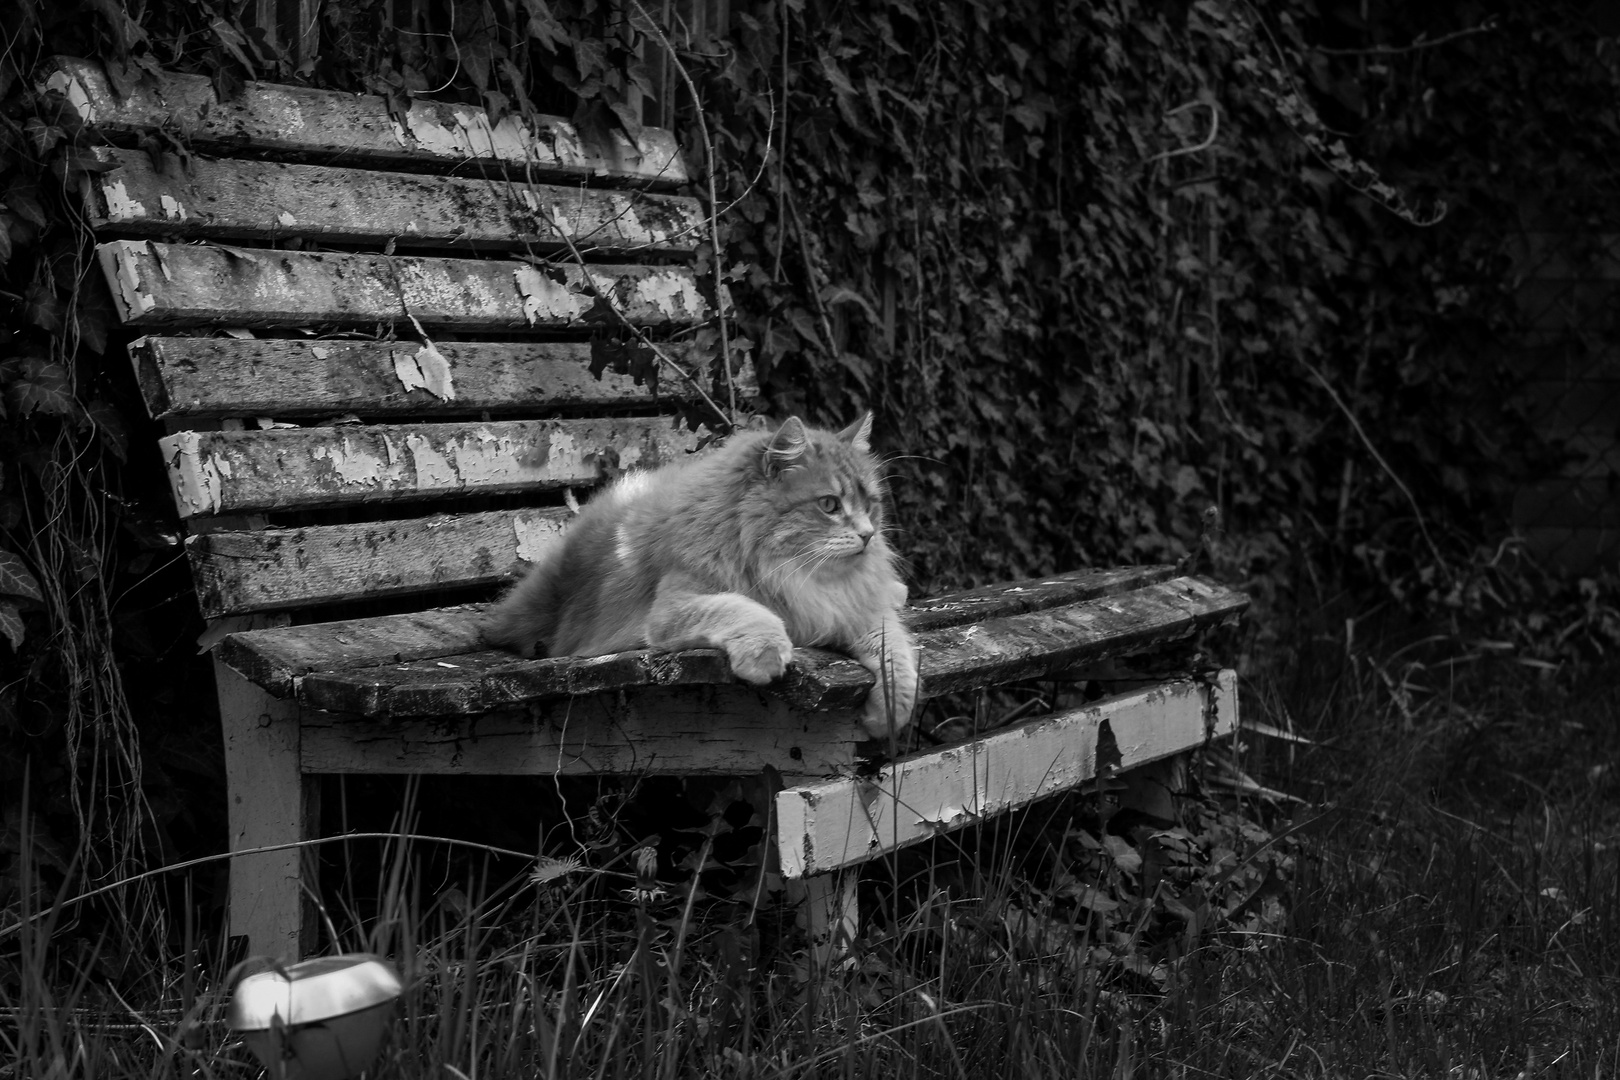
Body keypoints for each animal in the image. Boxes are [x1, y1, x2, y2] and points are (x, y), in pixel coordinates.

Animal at [473, 409, 920, 738]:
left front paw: (888, 715)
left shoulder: (857, 610)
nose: (868, 535)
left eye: (871, 504)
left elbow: (897, 658)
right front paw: (766, 654)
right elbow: (743, 608)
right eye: (829, 505)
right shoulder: (674, 608)